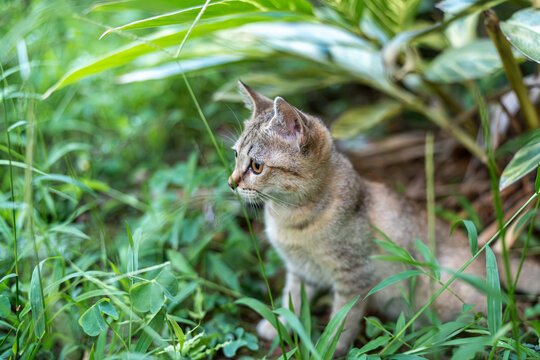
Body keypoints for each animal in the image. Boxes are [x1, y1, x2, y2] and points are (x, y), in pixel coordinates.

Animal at [229, 82, 540, 358]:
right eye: (235, 155)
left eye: (256, 166)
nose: (232, 183)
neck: (290, 218)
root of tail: (486, 252)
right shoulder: (299, 270)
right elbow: (291, 300)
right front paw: (278, 326)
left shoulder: (354, 275)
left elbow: (343, 319)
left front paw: (329, 348)